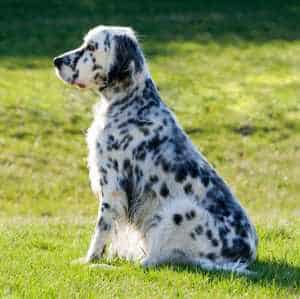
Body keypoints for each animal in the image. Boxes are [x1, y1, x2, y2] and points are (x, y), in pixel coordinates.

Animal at [54, 25, 258, 274]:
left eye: (91, 47)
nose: (56, 61)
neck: (131, 103)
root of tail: (244, 255)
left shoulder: (113, 185)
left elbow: (102, 229)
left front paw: (89, 260)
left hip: (178, 210)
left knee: (149, 262)